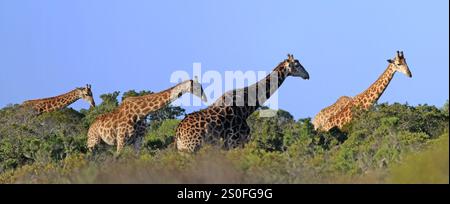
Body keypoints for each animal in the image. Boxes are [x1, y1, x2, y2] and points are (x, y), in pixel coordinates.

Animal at [176, 53, 310, 152]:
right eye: (297, 65)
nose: (307, 75)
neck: (246, 108)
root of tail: (178, 133)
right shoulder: (236, 142)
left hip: (184, 150)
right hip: (193, 149)